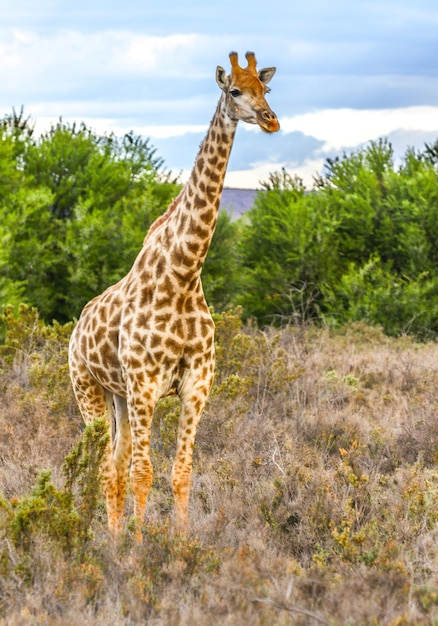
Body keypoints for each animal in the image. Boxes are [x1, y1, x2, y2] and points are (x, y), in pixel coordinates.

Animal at [69, 50, 280, 536]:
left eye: (266, 89)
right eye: (234, 91)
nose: (270, 120)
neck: (184, 274)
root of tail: (75, 329)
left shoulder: (196, 385)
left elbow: (180, 472)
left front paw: (181, 543)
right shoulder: (146, 385)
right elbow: (143, 474)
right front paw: (141, 547)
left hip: (119, 397)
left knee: (115, 465)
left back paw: (113, 537)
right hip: (87, 388)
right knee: (106, 467)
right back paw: (113, 540)